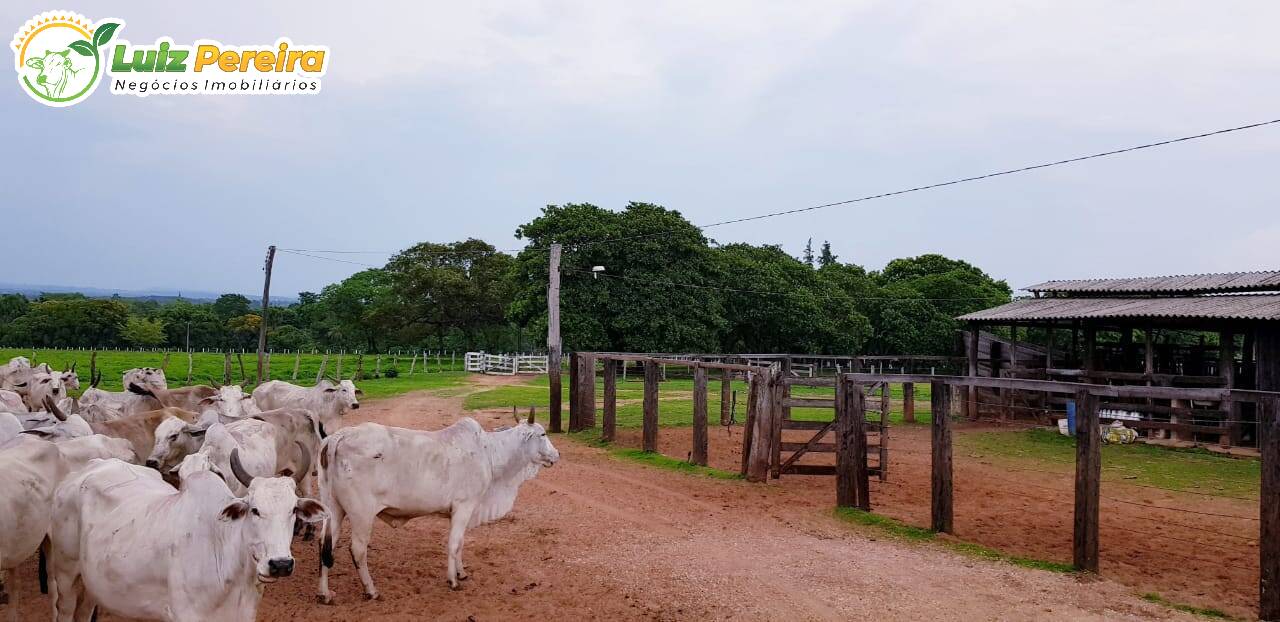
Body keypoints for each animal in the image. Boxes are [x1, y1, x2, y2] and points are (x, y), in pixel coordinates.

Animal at [48, 455, 330, 622]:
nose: (280, 564)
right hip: (65, 572)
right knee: (65, 609)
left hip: (91, 582)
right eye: (255, 509)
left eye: (293, 510)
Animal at [314, 406, 555, 601]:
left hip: (333, 508)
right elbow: (454, 543)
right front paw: (453, 581)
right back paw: (371, 590)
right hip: (361, 514)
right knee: (358, 550)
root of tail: (339, 436)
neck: (488, 452)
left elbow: (461, 543)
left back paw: (324, 593)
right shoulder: (464, 506)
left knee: (326, 544)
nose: (556, 454)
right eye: (542, 434)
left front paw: (461, 572)